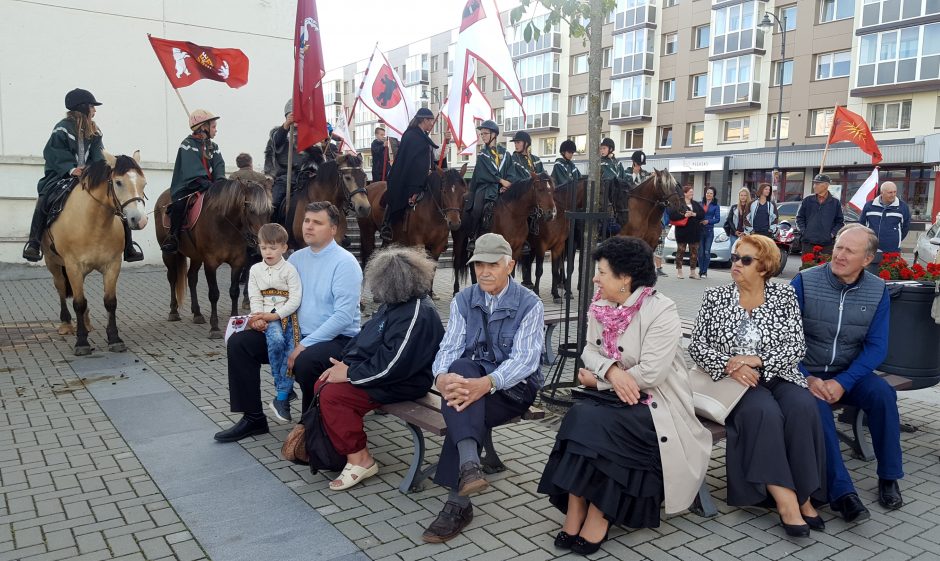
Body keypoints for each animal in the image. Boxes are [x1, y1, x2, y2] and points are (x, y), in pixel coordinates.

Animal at [42, 150, 147, 354]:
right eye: (118, 182)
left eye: (143, 183)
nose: (140, 220)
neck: (94, 224)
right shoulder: (73, 266)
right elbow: (78, 302)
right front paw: (82, 342)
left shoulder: (112, 265)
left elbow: (110, 301)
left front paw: (114, 338)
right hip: (54, 264)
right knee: (61, 288)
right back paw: (66, 324)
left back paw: (87, 322)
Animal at [154, 179, 272, 336]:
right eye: (250, 209)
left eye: (269, 211)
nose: (261, 245)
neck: (224, 225)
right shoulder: (210, 263)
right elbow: (214, 294)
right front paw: (214, 327)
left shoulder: (238, 262)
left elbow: (234, 291)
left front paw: (235, 320)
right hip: (169, 254)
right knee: (172, 278)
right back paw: (173, 311)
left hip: (196, 256)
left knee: (192, 278)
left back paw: (197, 313)